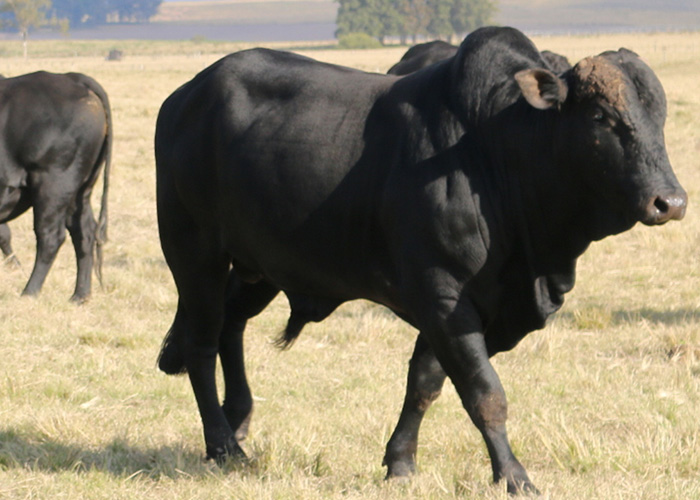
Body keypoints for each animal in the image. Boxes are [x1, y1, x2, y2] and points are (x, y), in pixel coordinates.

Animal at [156, 26, 688, 492]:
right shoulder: (444, 297)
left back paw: (238, 419)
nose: (670, 201)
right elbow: (484, 393)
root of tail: (185, 96)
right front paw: (513, 475)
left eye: (659, 116)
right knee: (201, 344)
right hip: (194, 254)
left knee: (230, 326)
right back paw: (222, 444)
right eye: (601, 117)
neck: (496, 154)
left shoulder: (464, 311)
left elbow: (425, 383)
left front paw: (400, 462)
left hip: (259, 268)